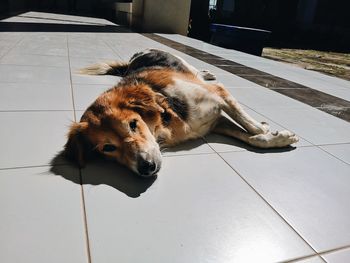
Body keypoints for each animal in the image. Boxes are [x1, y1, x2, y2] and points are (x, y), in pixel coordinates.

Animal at [63, 49, 298, 177]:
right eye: (108, 148)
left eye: (133, 124)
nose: (146, 167)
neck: (167, 116)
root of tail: (133, 59)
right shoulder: (216, 123)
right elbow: (252, 138)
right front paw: (275, 137)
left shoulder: (220, 94)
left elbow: (250, 126)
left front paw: (267, 130)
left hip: (183, 64)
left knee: (195, 69)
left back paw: (206, 72)